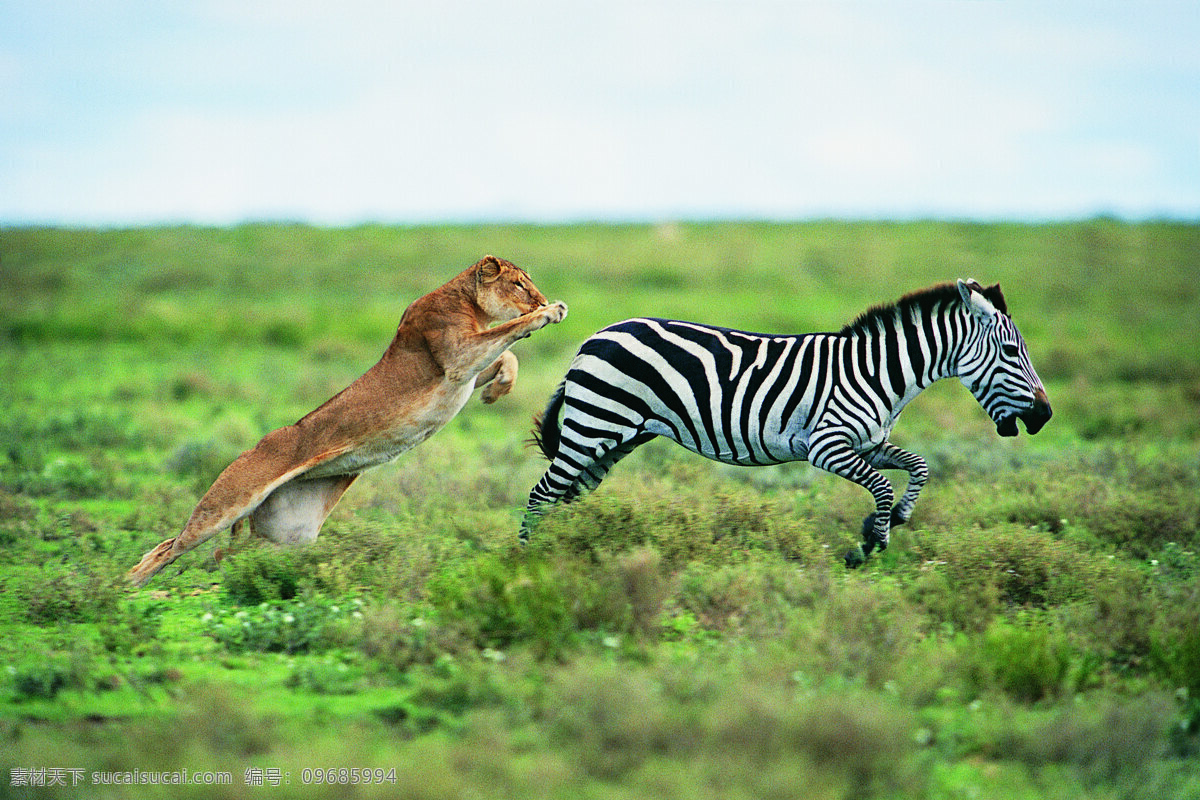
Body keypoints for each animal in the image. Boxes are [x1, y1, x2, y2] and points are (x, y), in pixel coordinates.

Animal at [520, 278, 1046, 566]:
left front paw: (893, 521)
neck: (878, 373)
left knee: (566, 497)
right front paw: (870, 541)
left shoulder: (870, 444)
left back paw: (571, 551)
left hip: (614, 437)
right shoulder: (826, 446)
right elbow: (882, 486)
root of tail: (593, 337)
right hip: (594, 426)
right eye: (1010, 351)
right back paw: (528, 560)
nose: (1045, 415)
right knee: (542, 494)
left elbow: (919, 467)